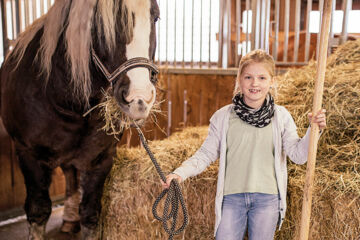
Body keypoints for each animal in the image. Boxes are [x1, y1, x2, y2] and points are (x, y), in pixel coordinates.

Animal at [0, 0, 160, 239]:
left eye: (155, 17)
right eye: (101, 24)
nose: (139, 99)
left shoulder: (100, 159)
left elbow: (90, 214)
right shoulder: (29, 156)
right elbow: (38, 212)